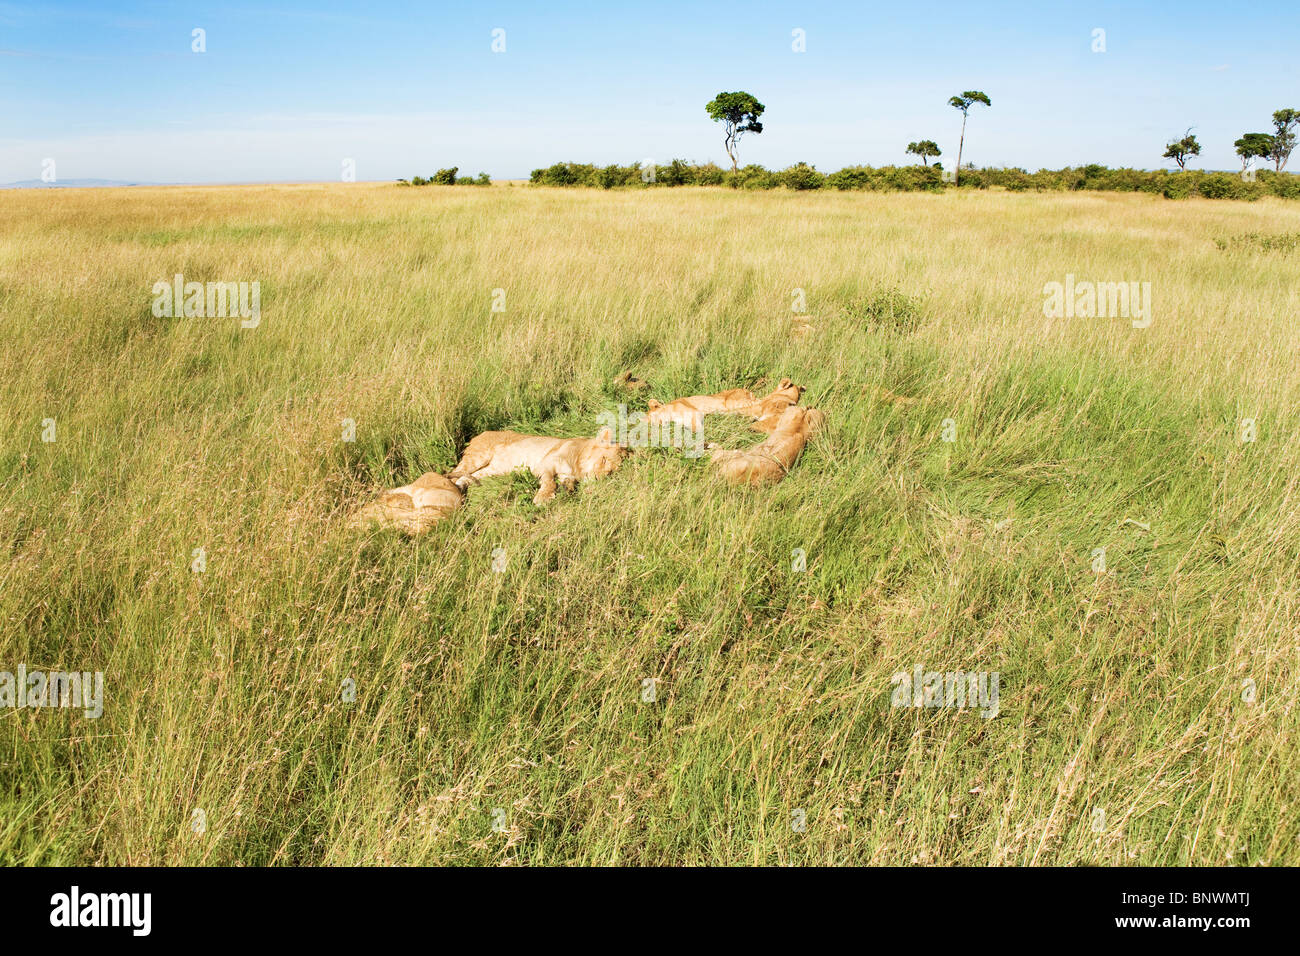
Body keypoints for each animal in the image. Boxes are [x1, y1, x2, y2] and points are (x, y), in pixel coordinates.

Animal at [446, 426, 629, 505]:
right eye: (603, 459)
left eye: (611, 473)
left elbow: (566, 483)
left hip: (491, 471)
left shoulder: (567, 475)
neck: (577, 464)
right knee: (452, 474)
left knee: (466, 477)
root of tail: (481, 433)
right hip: (477, 457)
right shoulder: (546, 463)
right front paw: (543, 497)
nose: (597, 479)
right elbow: (549, 482)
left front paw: (566, 491)